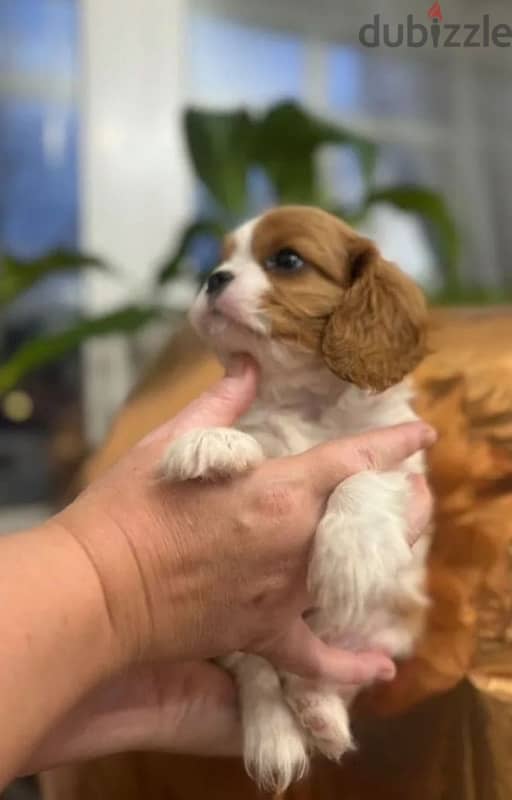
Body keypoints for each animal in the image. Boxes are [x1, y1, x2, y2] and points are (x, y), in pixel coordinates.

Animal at [162, 203, 430, 792]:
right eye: (221, 259)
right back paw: (279, 735)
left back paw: (319, 710)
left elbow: (361, 473)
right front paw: (212, 440)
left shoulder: (399, 455)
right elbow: (252, 442)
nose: (213, 278)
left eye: (286, 260)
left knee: (312, 670)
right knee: (260, 669)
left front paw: (349, 555)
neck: (306, 401)